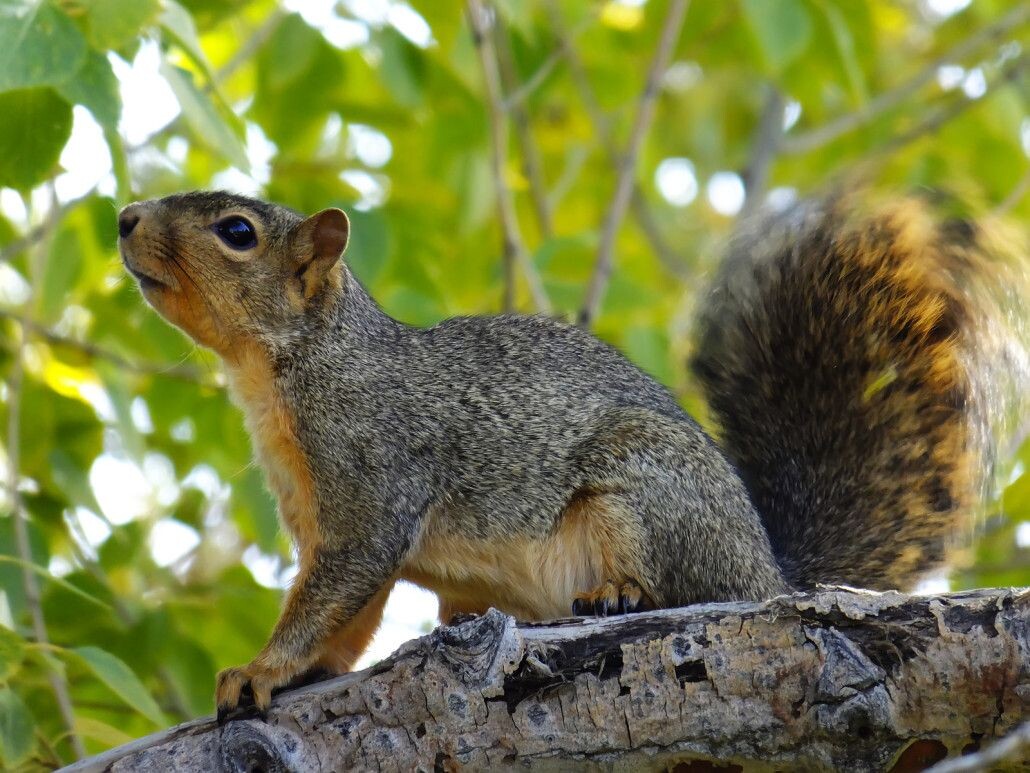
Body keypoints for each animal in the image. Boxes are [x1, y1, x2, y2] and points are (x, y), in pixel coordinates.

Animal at [117, 190, 1017, 717]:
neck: (293, 369)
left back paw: (618, 591)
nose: (125, 217)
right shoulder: (317, 518)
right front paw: (299, 668)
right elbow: (348, 613)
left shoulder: (372, 479)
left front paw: (263, 668)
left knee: (673, 579)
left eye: (237, 233)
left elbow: (336, 590)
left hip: (644, 487)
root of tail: (767, 574)